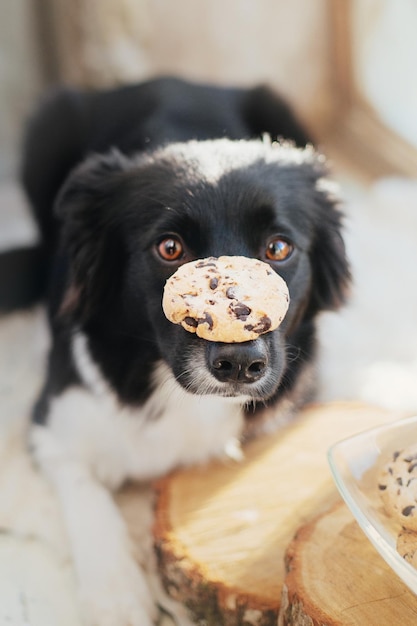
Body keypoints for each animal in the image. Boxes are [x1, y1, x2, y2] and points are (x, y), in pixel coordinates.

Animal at [1, 78, 350, 624]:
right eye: (169, 249)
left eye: (277, 249)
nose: (240, 365)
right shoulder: (53, 425)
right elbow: (87, 496)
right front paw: (117, 594)